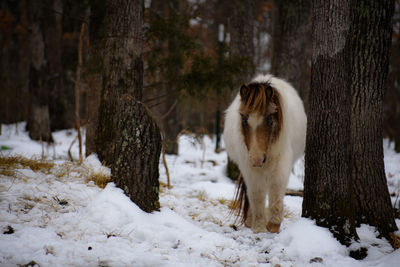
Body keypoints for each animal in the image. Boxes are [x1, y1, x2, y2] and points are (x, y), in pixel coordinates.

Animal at [222, 74, 306, 233]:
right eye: (244, 119)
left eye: (269, 119)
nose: (256, 159)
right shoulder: (250, 169)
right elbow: (256, 195)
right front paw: (259, 227)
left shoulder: (280, 164)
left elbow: (276, 190)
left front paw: (273, 225)